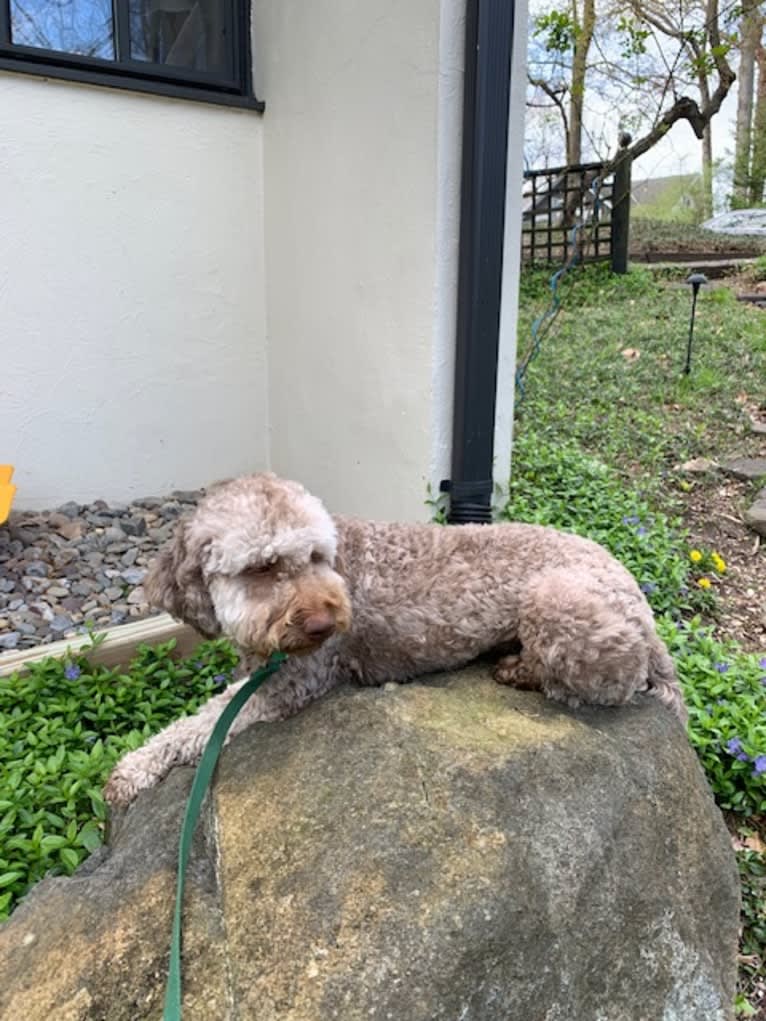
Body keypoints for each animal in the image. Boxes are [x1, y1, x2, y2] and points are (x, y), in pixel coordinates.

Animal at [105, 471, 686, 804]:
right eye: (263, 567)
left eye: (316, 556)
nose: (324, 623)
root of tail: (643, 606)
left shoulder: (295, 682)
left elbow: (201, 724)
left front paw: (134, 767)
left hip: (557, 603)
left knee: (601, 684)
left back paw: (521, 669)